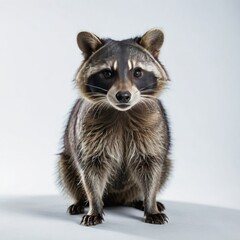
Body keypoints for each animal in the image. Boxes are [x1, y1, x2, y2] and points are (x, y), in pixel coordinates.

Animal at [58, 29, 171, 226]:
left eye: (138, 72)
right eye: (107, 73)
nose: (123, 96)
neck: (122, 112)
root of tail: (117, 199)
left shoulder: (154, 129)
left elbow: (152, 166)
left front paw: (151, 205)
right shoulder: (88, 133)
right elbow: (90, 170)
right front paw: (94, 206)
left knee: (164, 168)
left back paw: (139, 199)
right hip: (66, 160)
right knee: (68, 172)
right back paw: (80, 201)